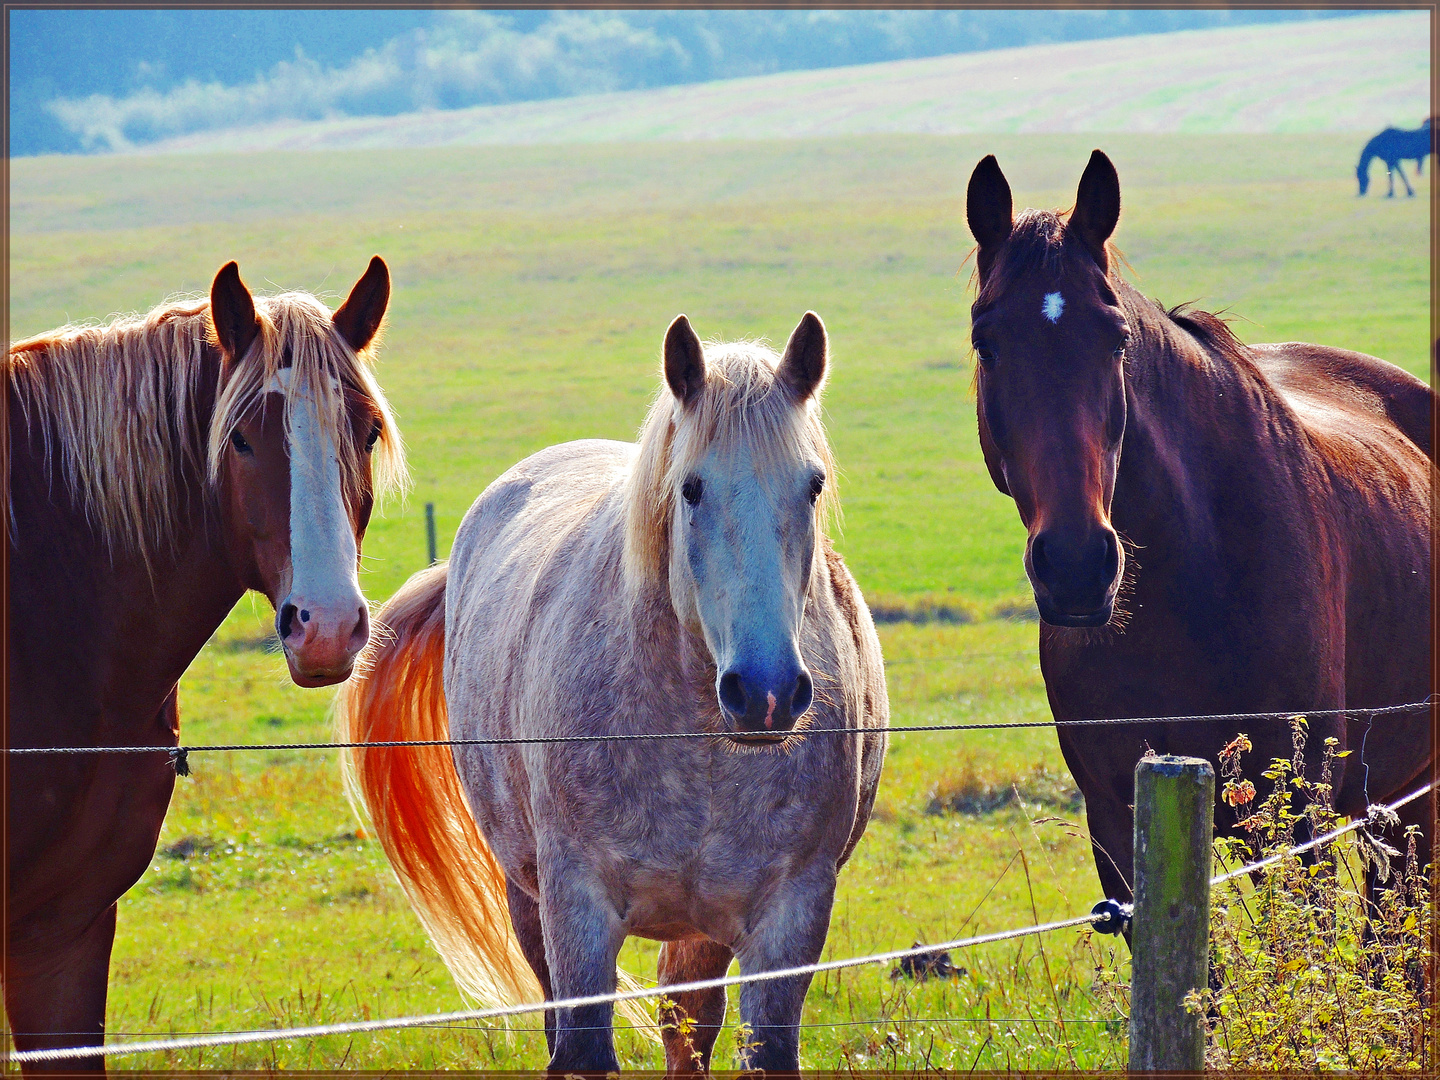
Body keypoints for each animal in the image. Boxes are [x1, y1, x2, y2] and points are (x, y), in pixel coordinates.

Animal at [336, 311, 887, 1077]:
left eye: (812, 484)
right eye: (691, 488)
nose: (767, 692)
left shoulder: (792, 917)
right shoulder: (578, 908)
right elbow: (582, 1045)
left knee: (689, 1026)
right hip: (528, 896)